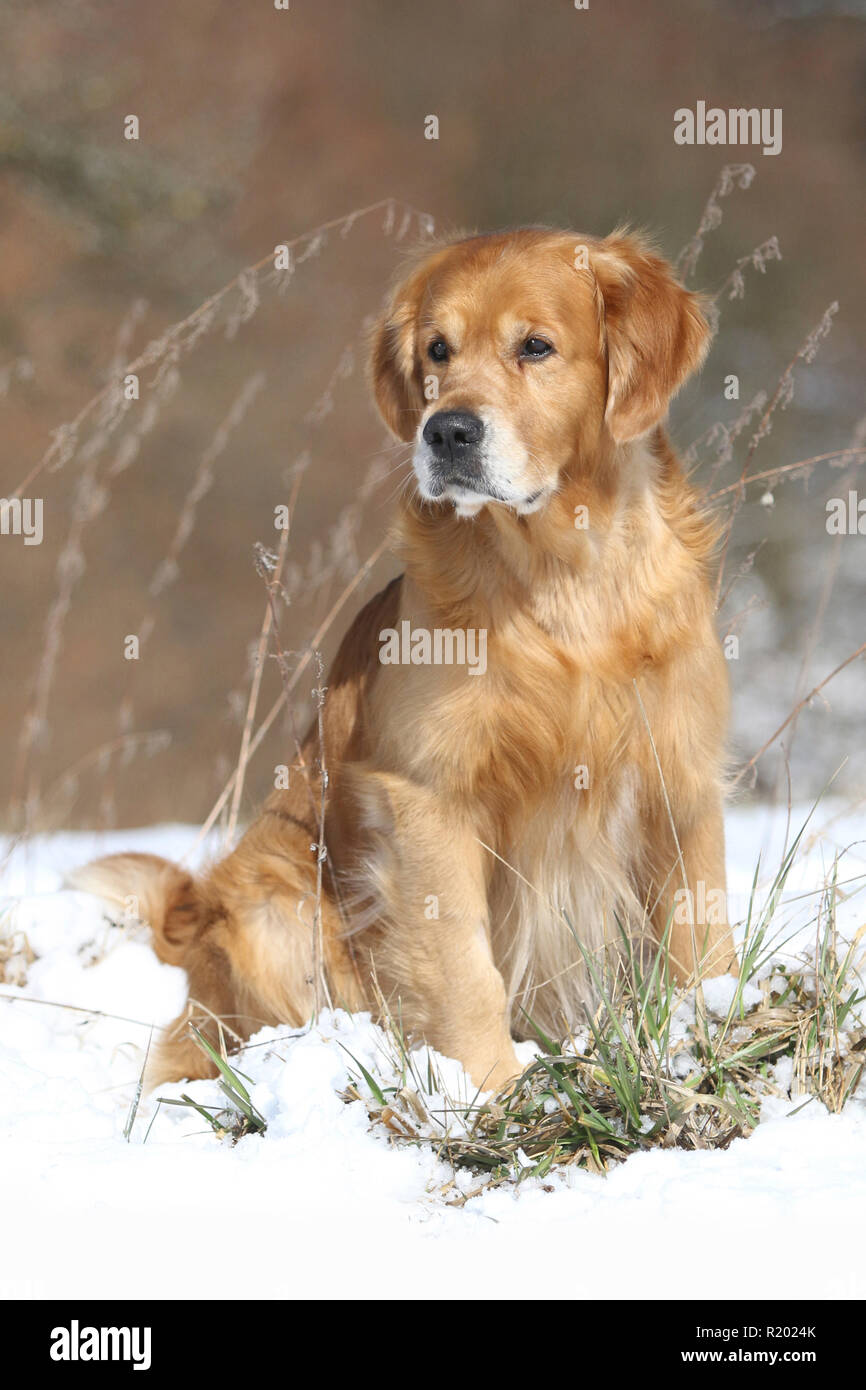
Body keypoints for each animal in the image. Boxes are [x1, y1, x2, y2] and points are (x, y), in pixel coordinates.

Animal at [69, 227, 739, 1089]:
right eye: (437, 351)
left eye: (536, 346)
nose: (447, 431)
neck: (561, 583)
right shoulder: (430, 795)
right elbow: (463, 967)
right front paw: (492, 1092)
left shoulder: (679, 778)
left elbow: (700, 938)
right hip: (278, 907)